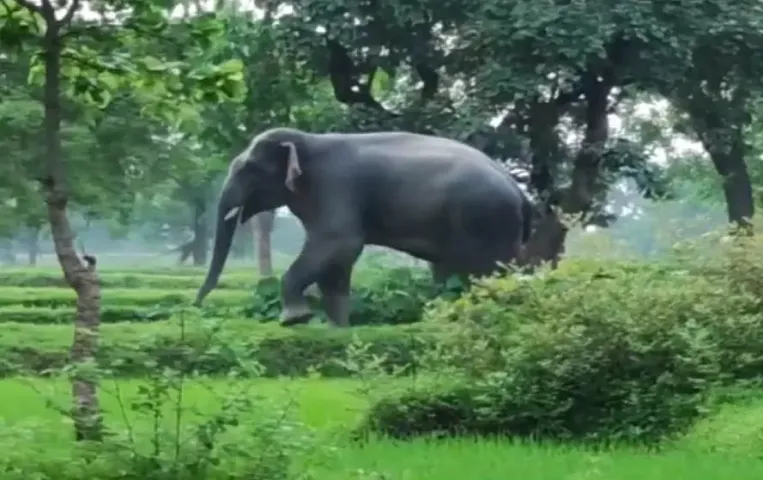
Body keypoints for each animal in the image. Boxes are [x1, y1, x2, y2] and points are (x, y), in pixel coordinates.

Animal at [194, 127, 534, 327]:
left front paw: (294, 319)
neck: (309, 139)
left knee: (479, 274)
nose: (195, 305)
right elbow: (336, 261)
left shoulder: (335, 186)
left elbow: (340, 242)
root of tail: (520, 193)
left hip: (484, 222)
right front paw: (338, 330)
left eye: (249, 168)